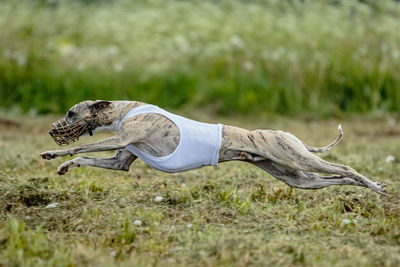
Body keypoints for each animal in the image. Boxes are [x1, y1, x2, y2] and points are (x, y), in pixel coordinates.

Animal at [40, 100, 388, 195]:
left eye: (70, 113)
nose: (53, 129)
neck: (124, 110)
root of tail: (288, 134)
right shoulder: (120, 161)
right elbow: (86, 157)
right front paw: (63, 166)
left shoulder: (120, 139)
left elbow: (81, 149)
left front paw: (54, 154)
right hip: (296, 177)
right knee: (334, 178)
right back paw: (374, 185)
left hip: (297, 158)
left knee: (344, 167)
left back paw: (375, 185)